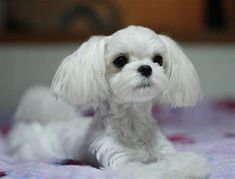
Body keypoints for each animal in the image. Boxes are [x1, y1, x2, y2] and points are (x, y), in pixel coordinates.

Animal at [8, 25, 211, 178]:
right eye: (120, 60)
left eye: (158, 60)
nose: (146, 68)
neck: (132, 123)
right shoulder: (122, 162)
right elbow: (155, 170)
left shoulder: (165, 151)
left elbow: (184, 161)